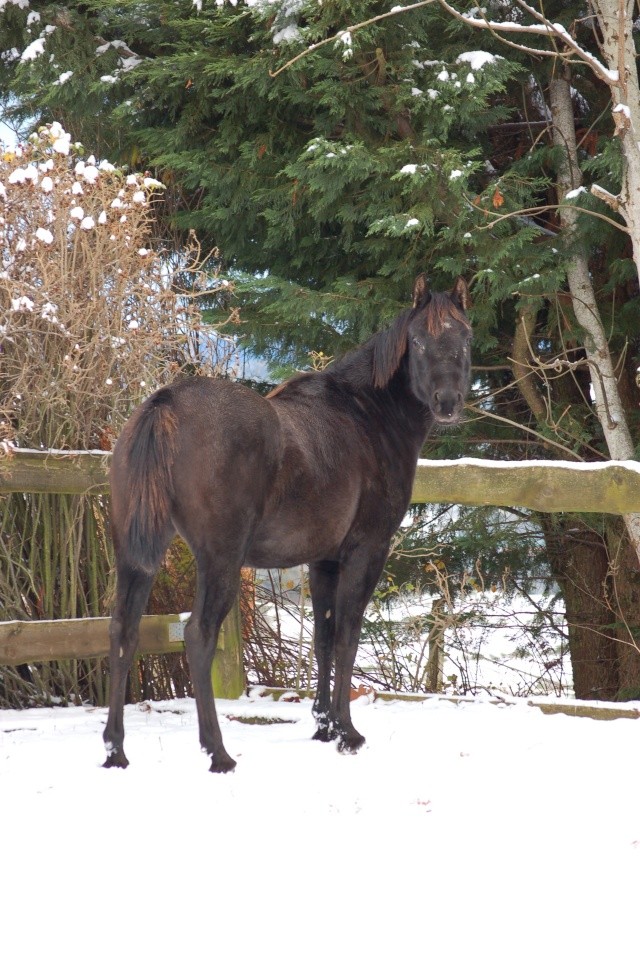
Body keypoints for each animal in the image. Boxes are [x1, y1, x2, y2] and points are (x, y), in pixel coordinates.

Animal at [105, 274, 472, 772]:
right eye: (417, 340)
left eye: (465, 337)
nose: (448, 402)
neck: (368, 415)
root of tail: (166, 404)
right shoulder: (366, 551)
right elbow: (347, 637)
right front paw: (348, 732)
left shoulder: (323, 561)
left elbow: (322, 638)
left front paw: (323, 725)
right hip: (219, 560)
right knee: (199, 637)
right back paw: (218, 752)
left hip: (136, 554)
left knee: (123, 633)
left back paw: (115, 751)